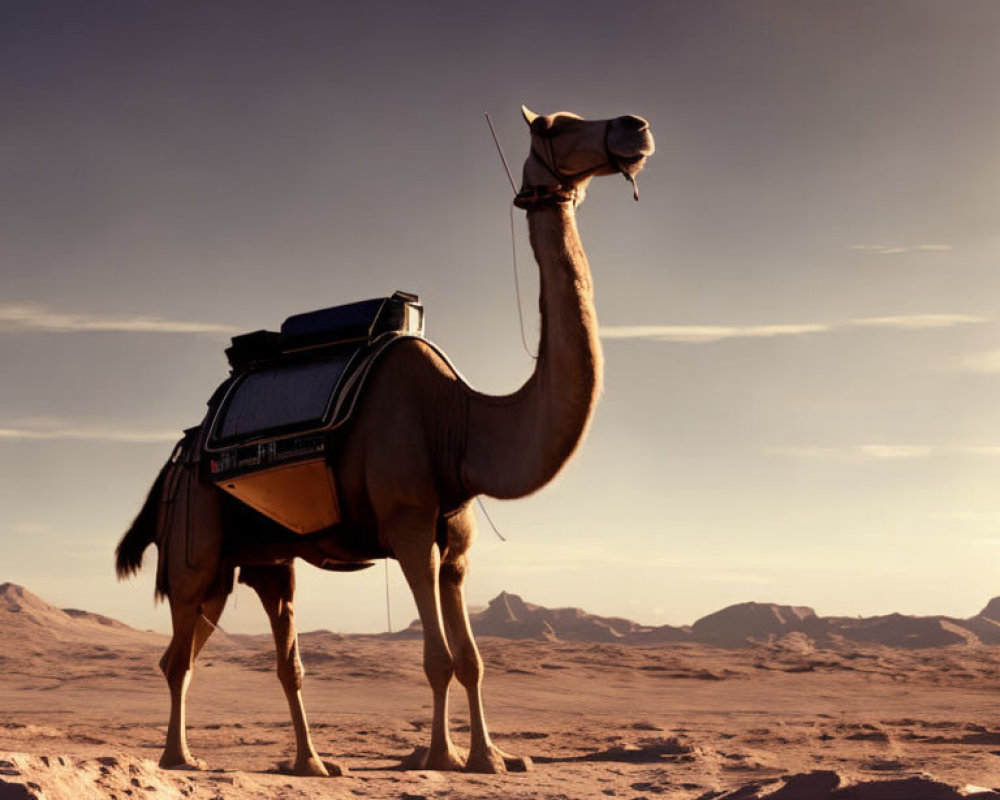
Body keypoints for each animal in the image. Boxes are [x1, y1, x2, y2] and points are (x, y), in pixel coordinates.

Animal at [113, 106, 656, 776]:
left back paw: (312, 763)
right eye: (556, 125)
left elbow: (473, 660)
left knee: (275, 656)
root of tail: (180, 455)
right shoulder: (408, 525)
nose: (634, 126)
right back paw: (179, 758)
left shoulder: (456, 545)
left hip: (265, 558)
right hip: (197, 545)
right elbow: (438, 658)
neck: (461, 424)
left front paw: (492, 756)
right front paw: (442, 756)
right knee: (178, 655)